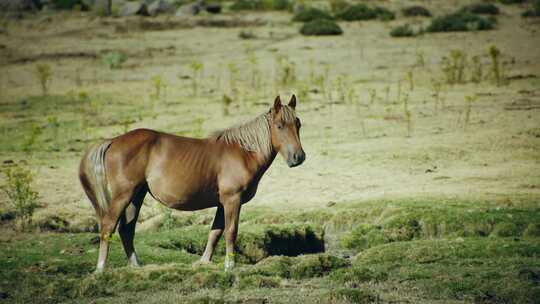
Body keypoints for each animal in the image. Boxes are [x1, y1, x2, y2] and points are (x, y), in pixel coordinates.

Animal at [78, 95, 306, 270]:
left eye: (298, 124)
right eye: (279, 126)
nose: (298, 157)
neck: (243, 152)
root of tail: (113, 141)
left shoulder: (222, 203)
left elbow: (215, 232)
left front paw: (204, 263)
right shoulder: (232, 200)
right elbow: (231, 232)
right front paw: (230, 266)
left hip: (136, 195)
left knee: (126, 230)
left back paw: (136, 267)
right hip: (123, 195)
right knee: (108, 225)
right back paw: (101, 269)